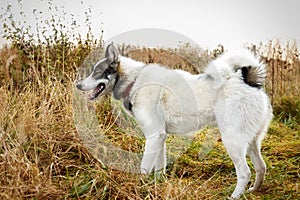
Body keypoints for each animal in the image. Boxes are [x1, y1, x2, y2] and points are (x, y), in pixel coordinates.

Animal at [75, 43, 272, 198]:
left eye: (97, 72)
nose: (77, 85)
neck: (134, 81)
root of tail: (246, 79)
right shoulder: (160, 138)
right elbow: (159, 169)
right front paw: (158, 187)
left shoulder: (154, 136)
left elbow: (144, 168)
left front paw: (139, 186)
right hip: (251, 143)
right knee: (261, 167)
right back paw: (253, 191)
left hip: (232, 142)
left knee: (245, 172)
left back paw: (234, 196)